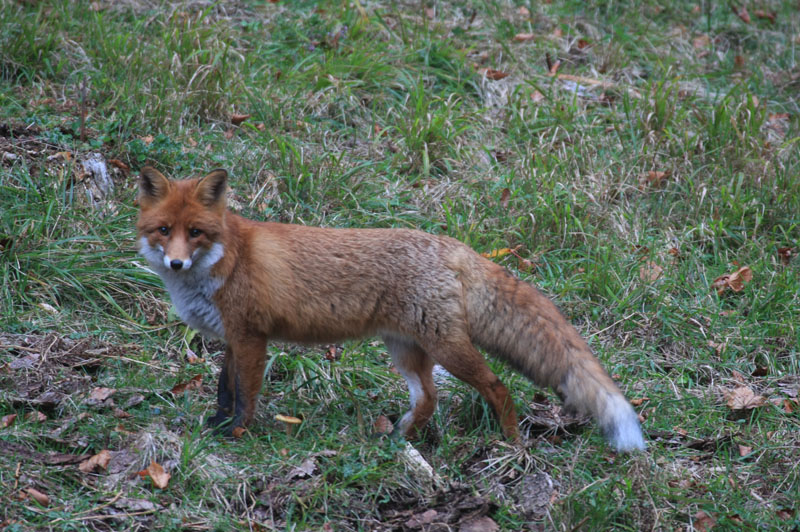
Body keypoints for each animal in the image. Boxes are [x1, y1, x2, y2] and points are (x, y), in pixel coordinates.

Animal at [138, 168, 648, 450]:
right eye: (164, 230)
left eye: (196, 232)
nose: (177, 261)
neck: (223, 259)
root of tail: (453, 245)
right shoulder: (230, 338)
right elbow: (224, 391)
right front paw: (216, 427)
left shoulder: (250, 337)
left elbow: (246, 395)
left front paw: (237, 436)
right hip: (405, 349)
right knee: (428, 399)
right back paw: (397, 439)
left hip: (447, 349)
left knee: (498, 386)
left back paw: (513, 443)